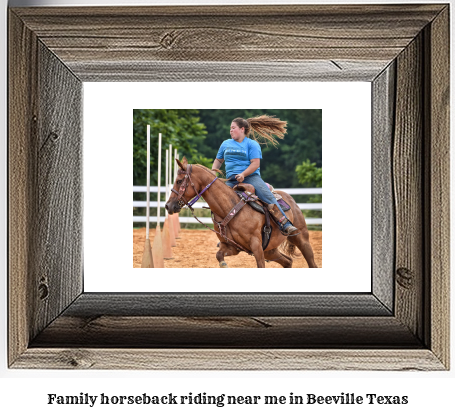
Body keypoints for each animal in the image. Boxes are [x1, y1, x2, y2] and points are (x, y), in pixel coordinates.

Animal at [166, 158, 318, 268]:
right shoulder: (231, 247)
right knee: (288, 262)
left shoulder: (257, 247)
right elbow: (219, 255)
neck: (229, 208)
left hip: (301, 239)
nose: (168, 206)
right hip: (270, 251)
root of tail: (290, 198)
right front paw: (224, 265)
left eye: (179, 181)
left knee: (311, 263)